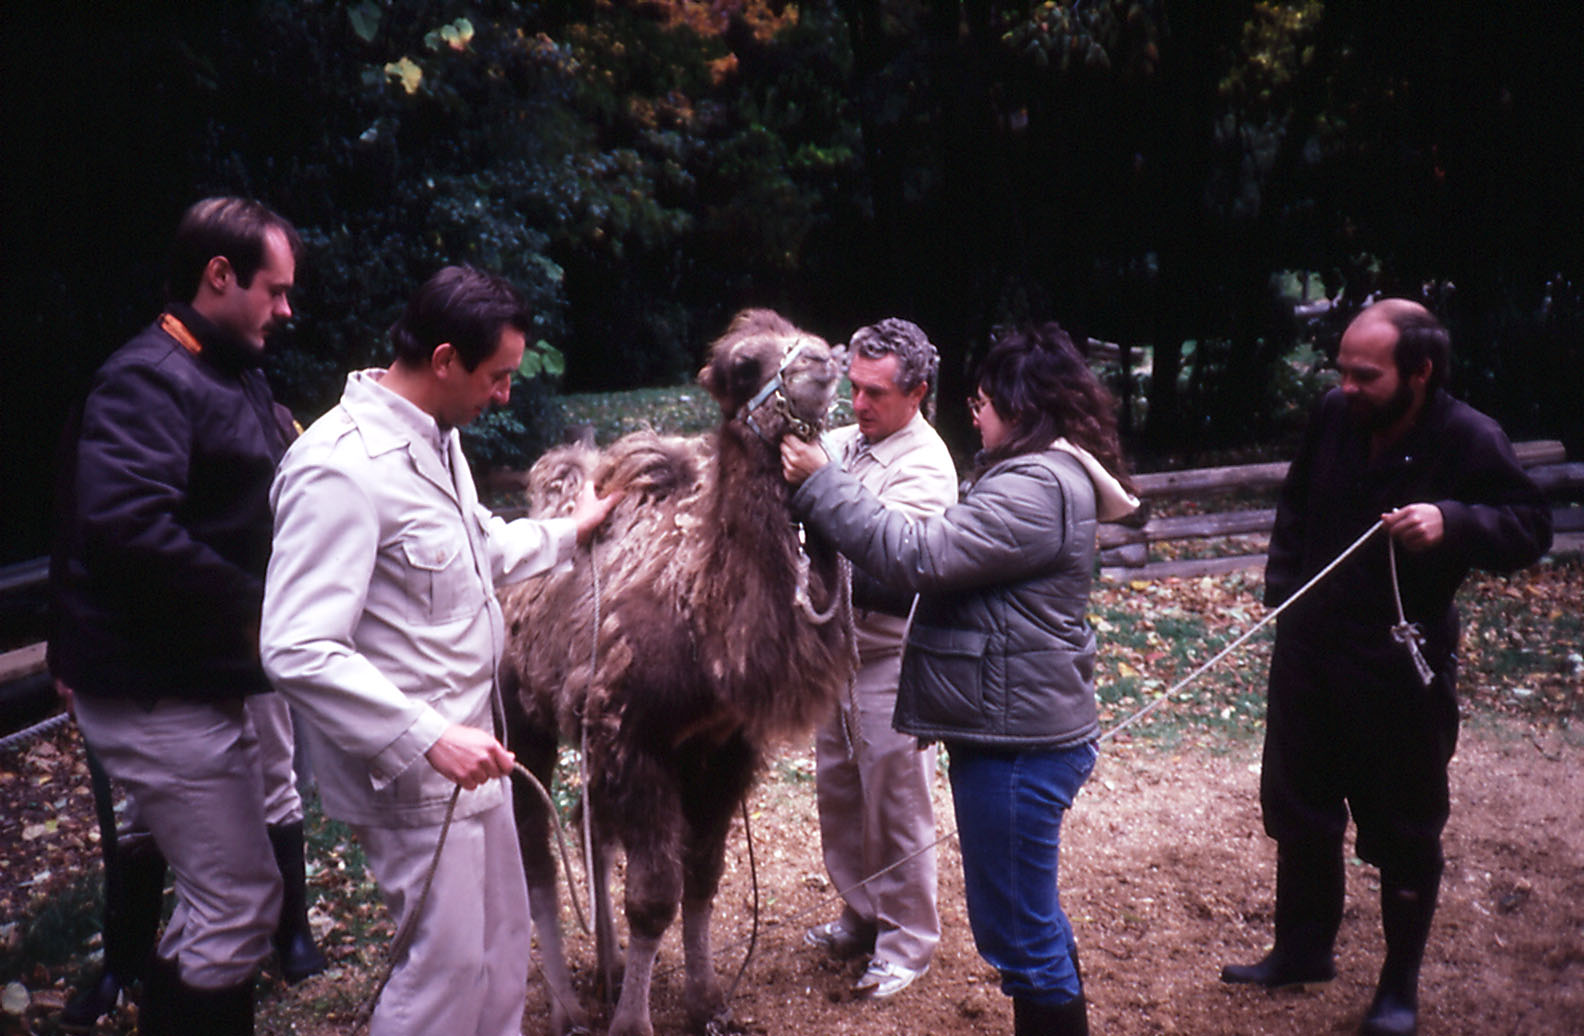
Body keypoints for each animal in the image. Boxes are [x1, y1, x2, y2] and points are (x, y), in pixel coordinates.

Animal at [499, 309, 857, 1036]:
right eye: (744, 365)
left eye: (805, 332)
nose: (821, 361)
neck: (703, 626)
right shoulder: (634, 735)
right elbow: (654, 896)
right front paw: (633, 1022)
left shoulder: (722, 746)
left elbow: (704, 875)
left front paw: (707, 1000)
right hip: (520, 717)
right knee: (537, 849)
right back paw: (568, 1005)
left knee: (591, 828)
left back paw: (606, 971)